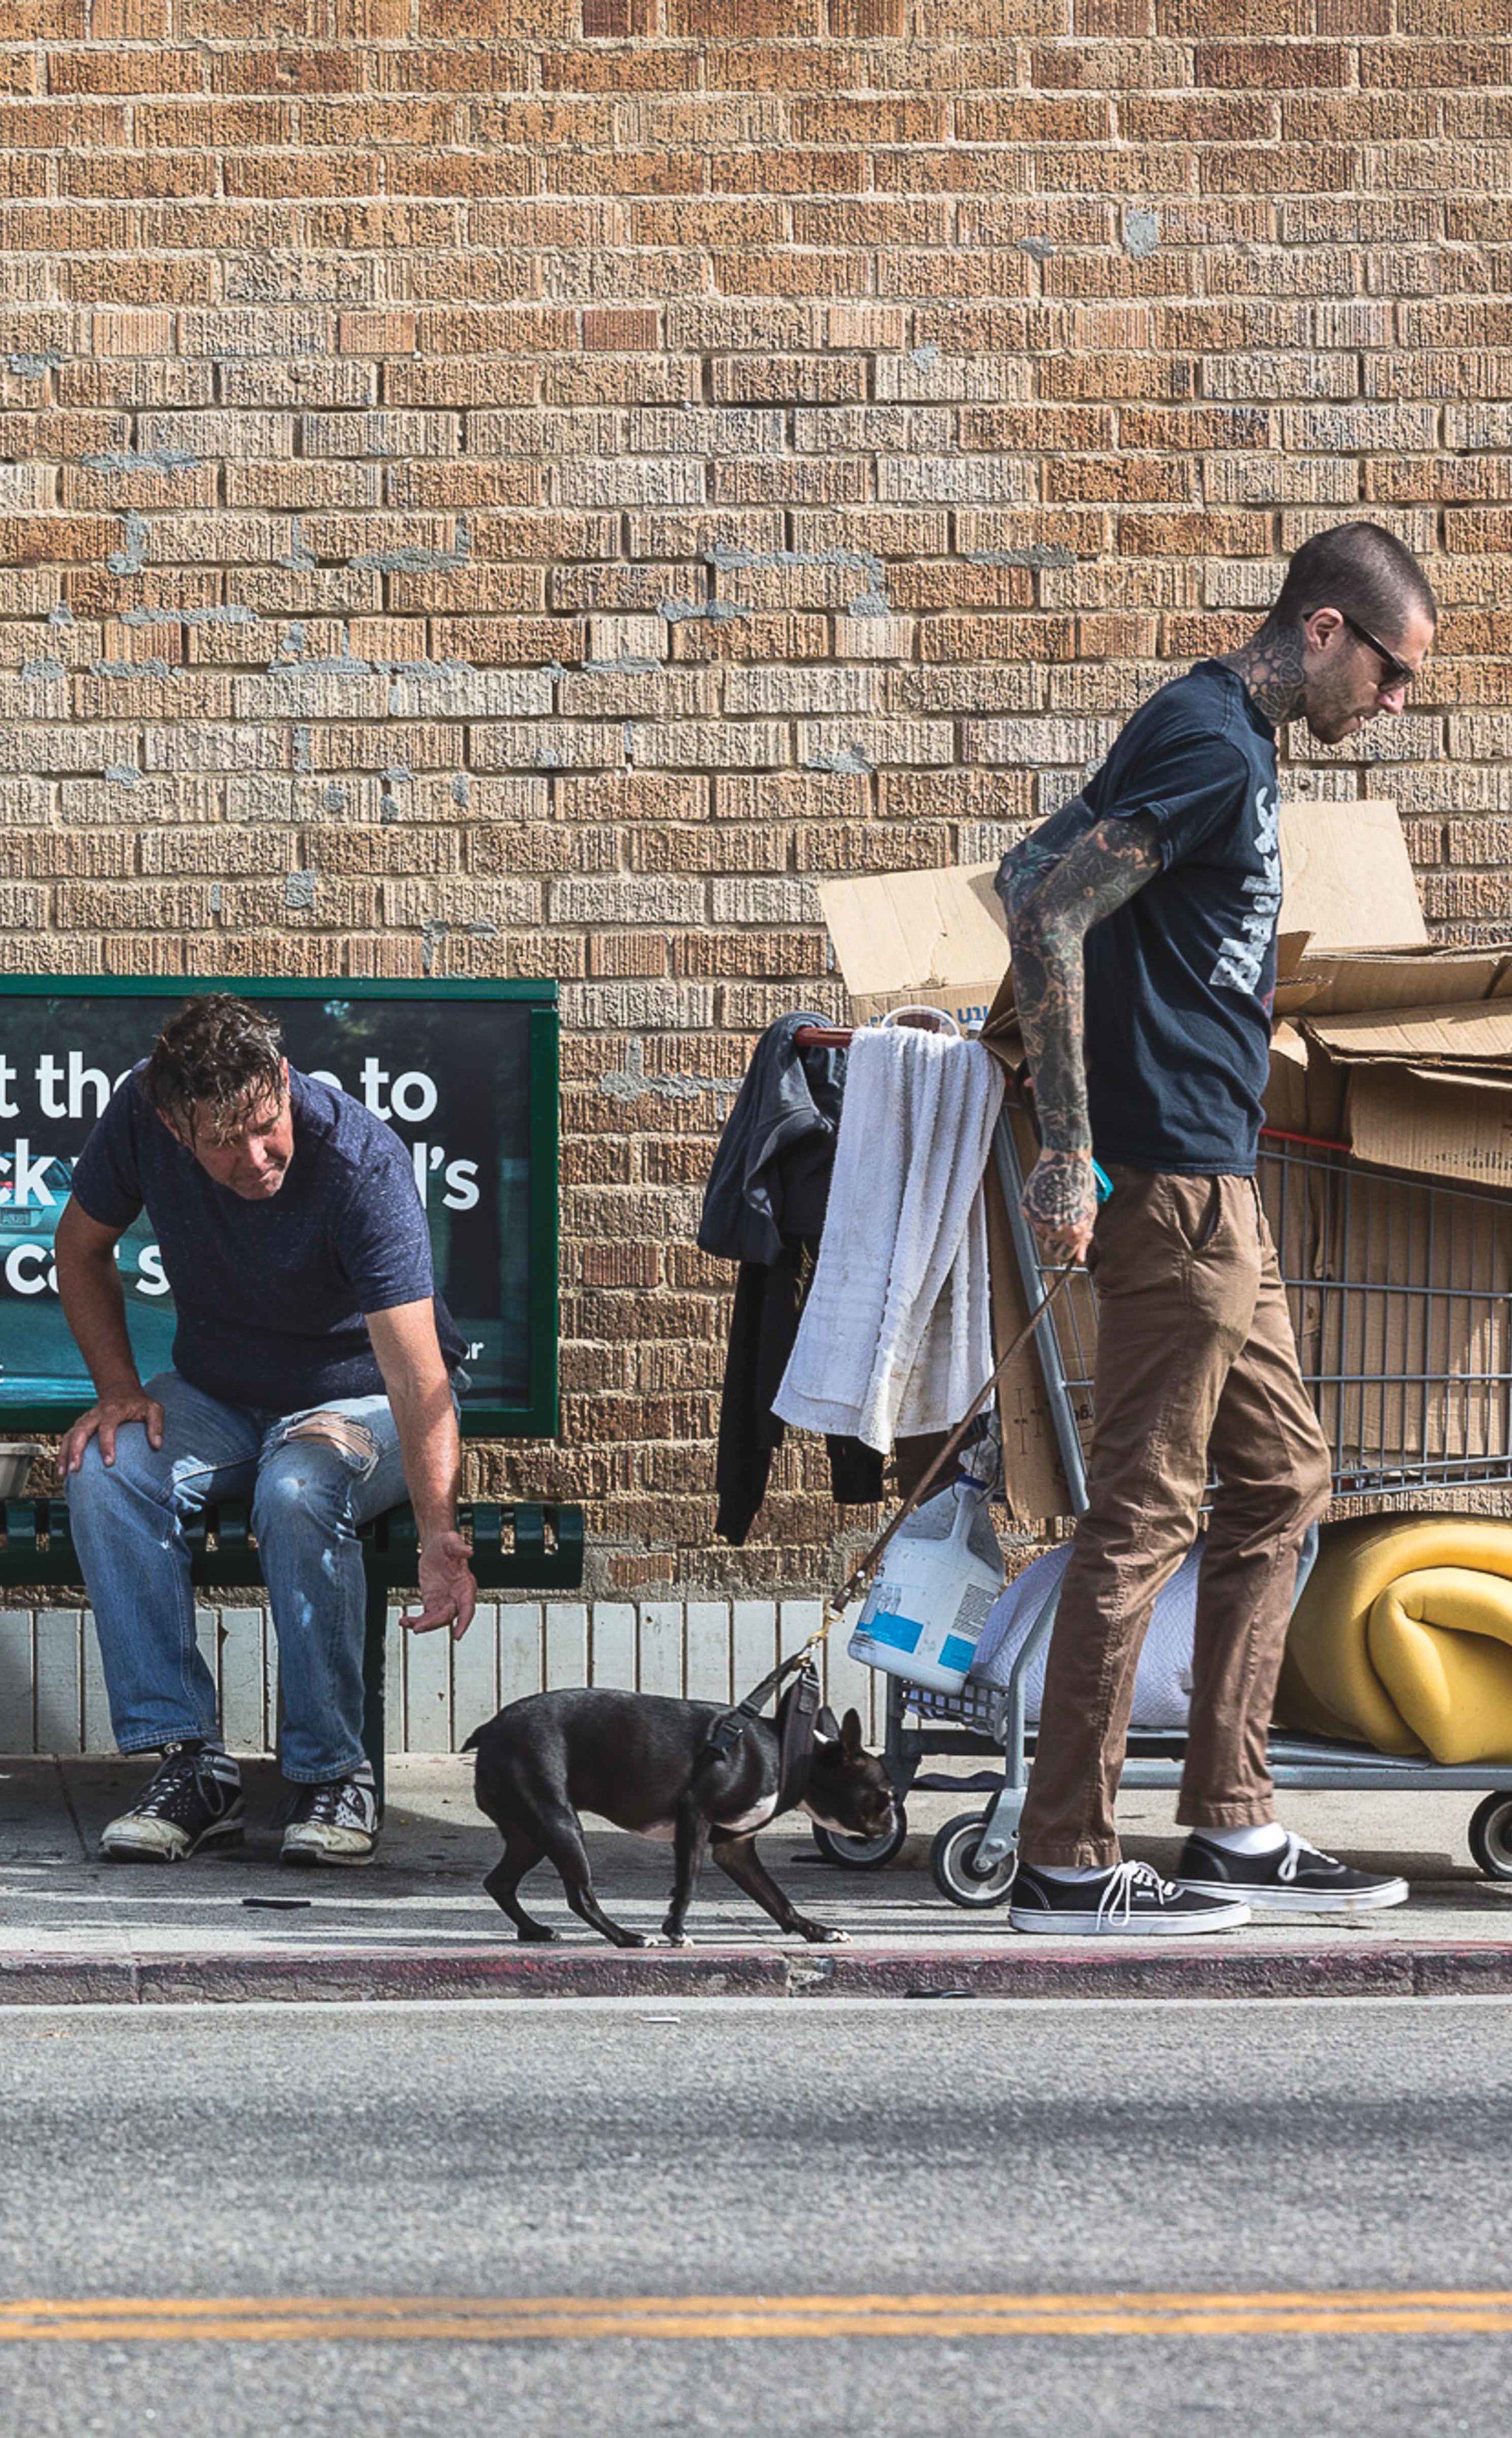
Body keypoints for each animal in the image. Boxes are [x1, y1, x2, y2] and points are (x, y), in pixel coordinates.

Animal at [463, 1687, 897, 1950]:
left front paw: (817, 1931)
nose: (893, 1821)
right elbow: (687, 1882)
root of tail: (491, 1728)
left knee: (500, 1881)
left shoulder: (735, 1849)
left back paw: (534, 1929)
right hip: (559, 1824)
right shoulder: (695, 1815)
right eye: (886, 1797)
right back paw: (628, 1938)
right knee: (579, 1895)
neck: (793, 1756)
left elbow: (776, 1899)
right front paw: (675, 1931)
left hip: (531, 1834)